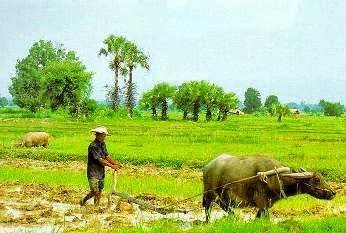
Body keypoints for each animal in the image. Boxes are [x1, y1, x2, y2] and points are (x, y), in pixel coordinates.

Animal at [203, 154, 336, 221]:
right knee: (209, 207)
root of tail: (207, 167)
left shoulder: (266, 205)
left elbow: (259, 217)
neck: (277, 178)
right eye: (317, 180)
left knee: (222, 205)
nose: (333, 192)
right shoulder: (262, 203)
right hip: (210, 194)